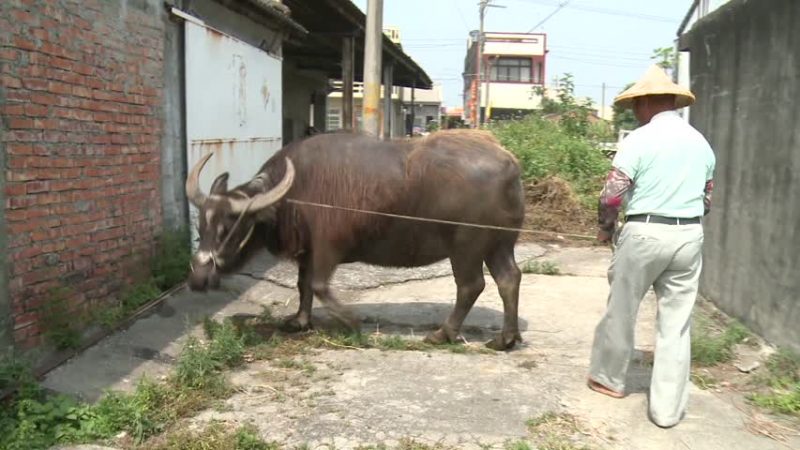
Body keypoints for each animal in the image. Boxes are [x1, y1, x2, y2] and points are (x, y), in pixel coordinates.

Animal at [184, 128, 528, 350]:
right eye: (201, 226)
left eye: (229, 227)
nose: (198, 277)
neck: (294, 195)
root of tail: (510, 164)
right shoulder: (309, 252)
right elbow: (303, 285)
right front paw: (300, 320)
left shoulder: (327, 247)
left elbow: (319, 285)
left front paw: (350, 320)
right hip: (499, 245)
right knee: (509, 279)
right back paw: (505, 339)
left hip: (466, 247)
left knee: (471, 286)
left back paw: (442, 334)